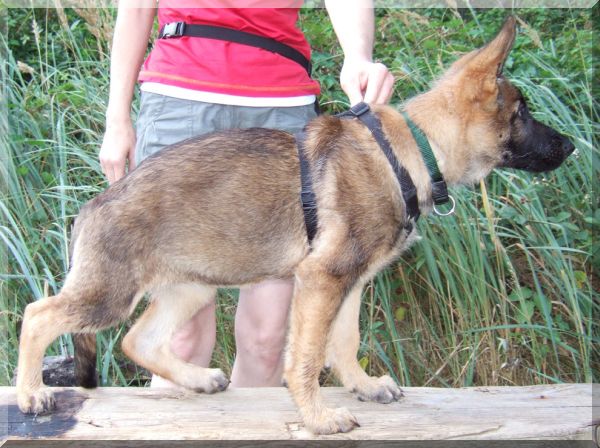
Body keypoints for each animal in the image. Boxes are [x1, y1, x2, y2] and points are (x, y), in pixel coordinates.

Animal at [16, 17, 574, 434]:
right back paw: (31, 393)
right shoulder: (321, 280)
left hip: (192, 289)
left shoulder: (351, 283)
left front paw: (363, 386)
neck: (412, 148)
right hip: (108, 295)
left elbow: (344, 342)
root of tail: (94, 205)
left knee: (138, 341)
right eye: (523, 113)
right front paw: (318, 417)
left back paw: (197, 380)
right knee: (38, 314)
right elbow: (305, 357)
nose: (570, 146)